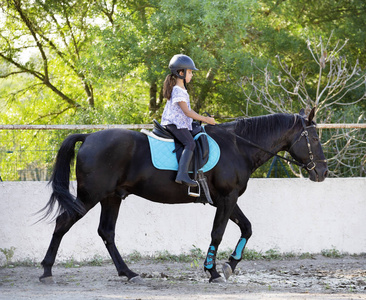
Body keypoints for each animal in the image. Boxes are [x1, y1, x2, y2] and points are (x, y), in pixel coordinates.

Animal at [40, 108, 328, 284]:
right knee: (63, 223)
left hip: (111, 197)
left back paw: (128, 272)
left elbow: (246, 227)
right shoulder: (227, 198)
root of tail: (89, 136)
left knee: (106, 232)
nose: (323, 172)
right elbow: (217, 233)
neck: (238, 146)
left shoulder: (227, 199)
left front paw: (230, 265)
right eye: (314, 138)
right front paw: (213, 271)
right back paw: (46, 270)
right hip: (91, 196)